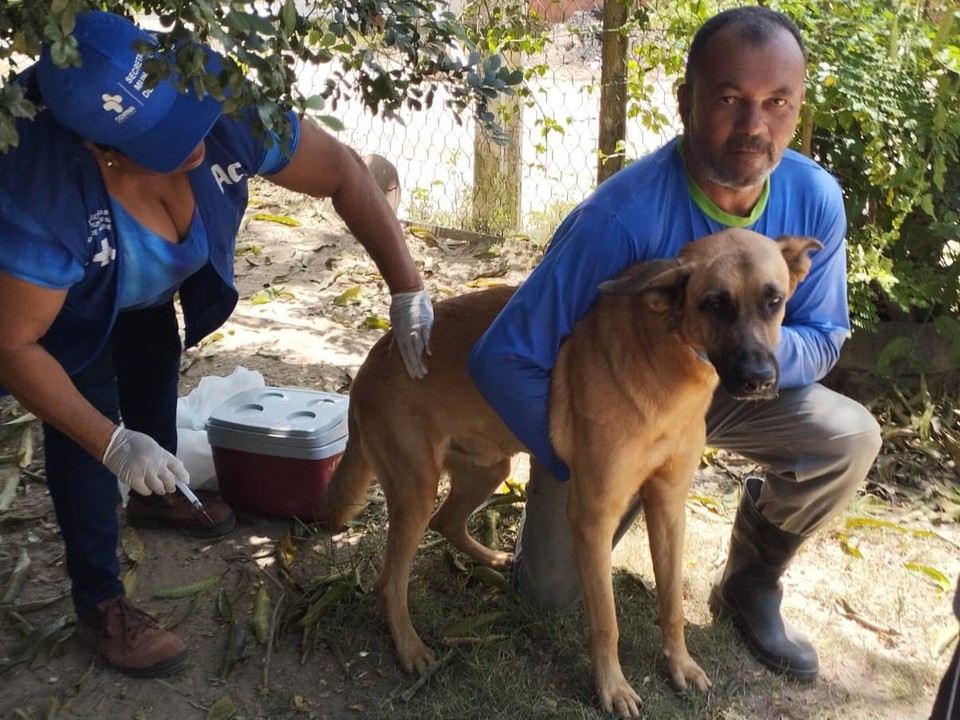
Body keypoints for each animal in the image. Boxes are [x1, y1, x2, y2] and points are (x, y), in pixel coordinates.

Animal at [326, 228, 820, 712]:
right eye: (714, 303)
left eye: (774, 300)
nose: (759, 380)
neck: (668, 366)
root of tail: (372, 360)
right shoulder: (593, 517)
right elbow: (605, 620)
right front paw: (612, 689)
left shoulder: (668, 505)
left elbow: (672, 601)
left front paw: (680, 664)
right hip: (416, 489)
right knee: (389, 581)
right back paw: (410, 648)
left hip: (488, 469)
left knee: (444, 521)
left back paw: (491, 559)